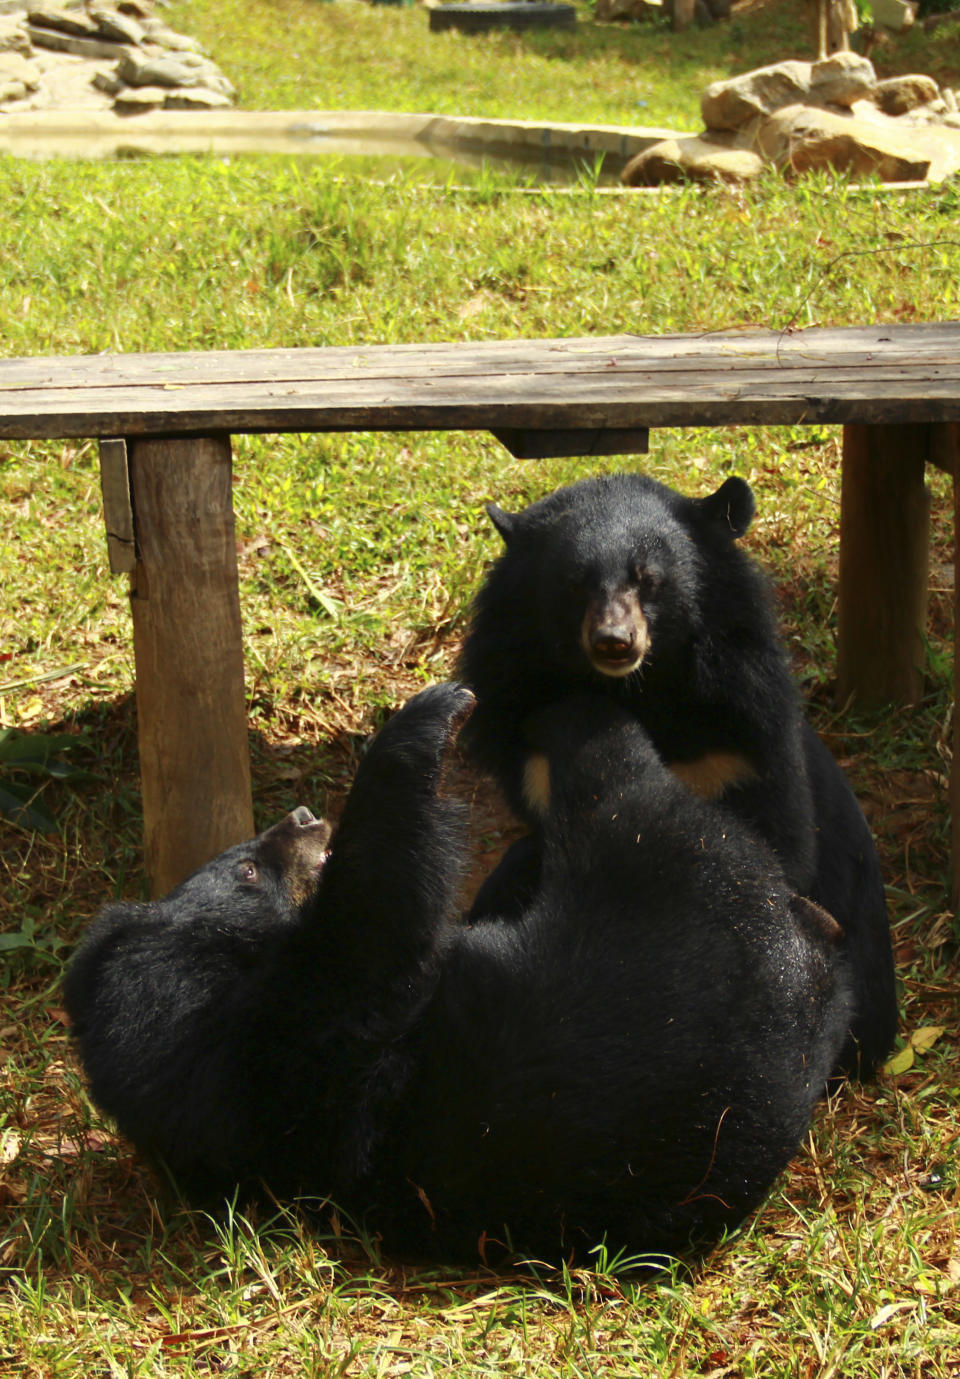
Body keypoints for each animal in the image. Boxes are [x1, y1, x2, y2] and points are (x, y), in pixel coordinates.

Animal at [65, 683, 849, 1263]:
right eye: (249, 870)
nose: (303, 815)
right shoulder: (304, 1025)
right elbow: (378, 904)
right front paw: (431, 716)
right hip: (669, 873)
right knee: (621, 785)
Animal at [457, 474, 899, 1075]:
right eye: (573, 585)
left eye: (648, 580)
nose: (614, 641)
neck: (639, 689)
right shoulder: (528, 739)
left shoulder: (737, 737)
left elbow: (775, 850)